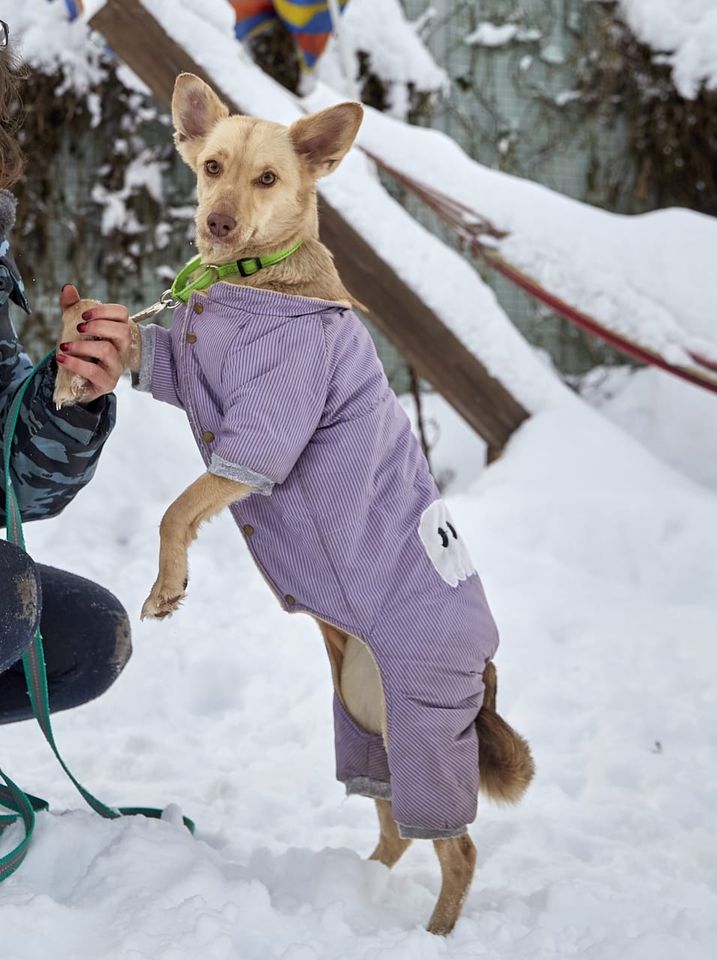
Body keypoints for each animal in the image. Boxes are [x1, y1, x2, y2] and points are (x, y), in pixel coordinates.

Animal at [109, 77, 532, 936]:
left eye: (268, 178)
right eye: (211, 166)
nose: (217, 221)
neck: (247, 282)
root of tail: (486, 668)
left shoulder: (263, 442)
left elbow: (176, 511)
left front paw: (167, 588)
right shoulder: (191, 376)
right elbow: (148, 351)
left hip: (423, 724)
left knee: (458, 847)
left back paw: (434, 935)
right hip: (367, 721)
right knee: (396, 827)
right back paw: (350, 893)